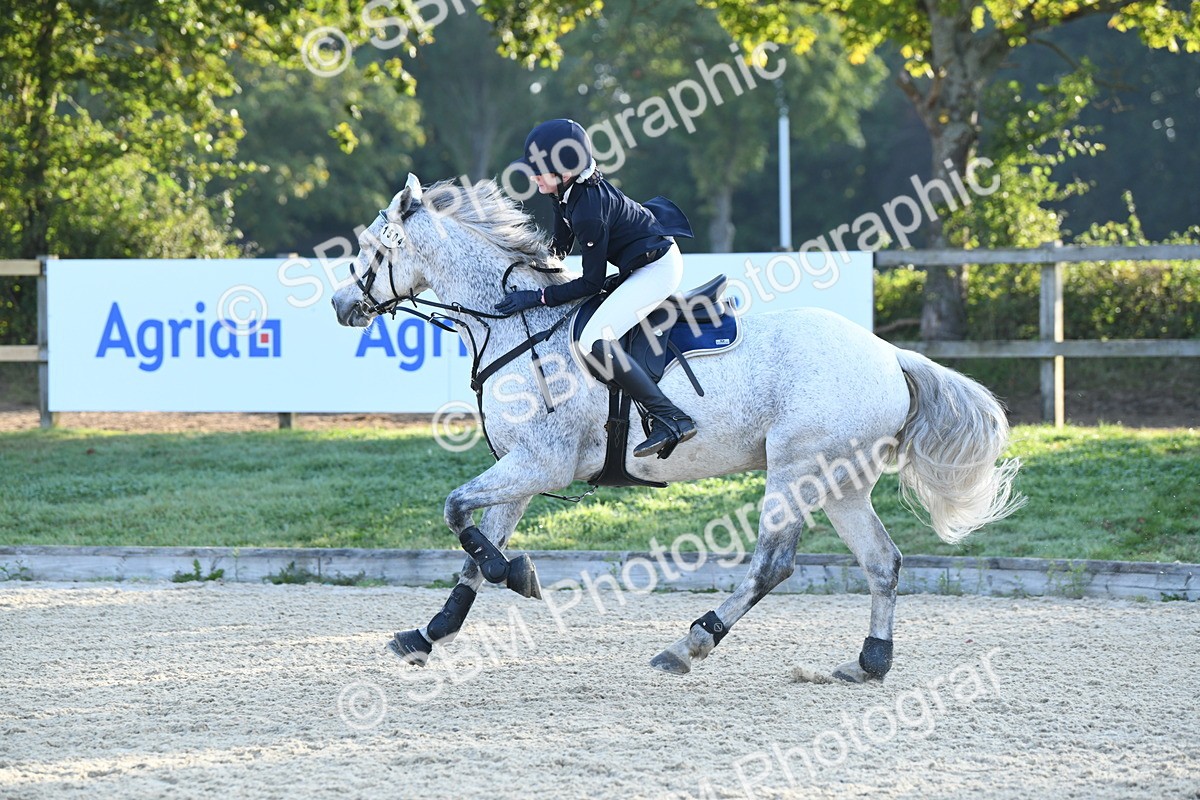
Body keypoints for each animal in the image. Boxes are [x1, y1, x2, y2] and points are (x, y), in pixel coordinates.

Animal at [331, 174, 1023, 682]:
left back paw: (688, 646)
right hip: (840, 479)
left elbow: (457, 513)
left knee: (773, 565)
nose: (341, 305)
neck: (511, 326)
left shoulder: (540, 463)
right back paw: (869, 663)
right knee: (883, 562)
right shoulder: (522, 469)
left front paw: (517, 576)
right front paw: (429, 633)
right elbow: (474, 551)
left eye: (373, 249)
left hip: (796, 468)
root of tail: (889, 355)